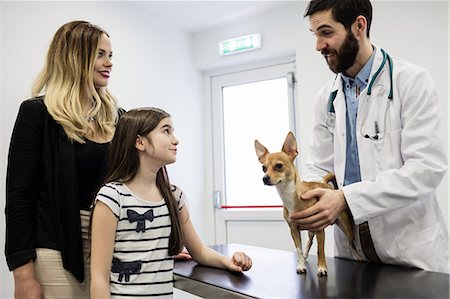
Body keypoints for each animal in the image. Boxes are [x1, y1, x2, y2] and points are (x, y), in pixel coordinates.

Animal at [255, 132, 360, 278]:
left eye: (279, 166)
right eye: (263, 168)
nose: (265, 178)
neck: (290, 196)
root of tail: (324, 184)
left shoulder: (319, 228)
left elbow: (320, 250)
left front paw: (322, 268)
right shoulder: (294, 230)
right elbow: (298, 249)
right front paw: (301, 265)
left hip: (345, 227)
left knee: (351, 243)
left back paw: (356, 256)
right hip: (311, 230)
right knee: (309, 241)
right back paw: (305, 255)